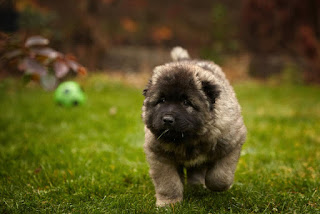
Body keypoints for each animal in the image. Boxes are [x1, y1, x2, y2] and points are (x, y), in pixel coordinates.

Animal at [141, 47, 246, 207]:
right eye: (162, 100)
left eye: (186, 102)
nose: (167, 119)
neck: (188, 139)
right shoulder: (159, 155)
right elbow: (168, 182)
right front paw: (169, 203)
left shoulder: (232, 144)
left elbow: (220, 176)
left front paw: (216, 185)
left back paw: (198, 186)